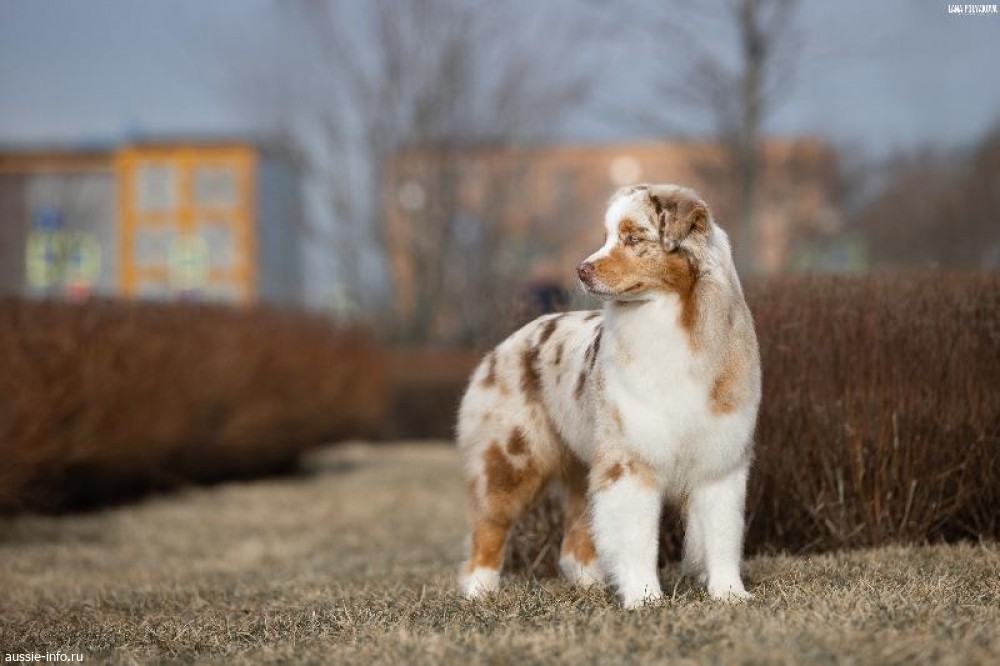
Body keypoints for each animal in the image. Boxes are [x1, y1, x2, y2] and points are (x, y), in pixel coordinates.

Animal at [456, 184, 761, 608]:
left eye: (633, 238)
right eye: (606, 237)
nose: (581, 269)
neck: (673, 324)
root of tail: (506, 343)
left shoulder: (721, 459)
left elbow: (722, 534)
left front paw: (729, 593)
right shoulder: (629, 458)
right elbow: (638, 538)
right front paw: (645, 597)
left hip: (582, 460)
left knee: (573, 543)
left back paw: (590, 584)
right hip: (511, 456)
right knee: (489, 527)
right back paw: (479, 591)